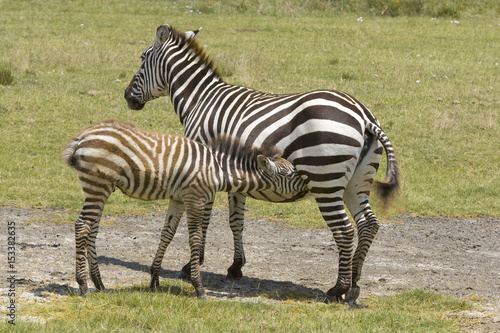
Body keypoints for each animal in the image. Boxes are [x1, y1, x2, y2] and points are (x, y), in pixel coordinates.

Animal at [62, 118, 308, 296]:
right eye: (290, 174)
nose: (308, 184)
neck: (216, 169)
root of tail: (82, 137)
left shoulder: (178, 199)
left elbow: (167, 234)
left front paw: (154, 279)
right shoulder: (195, 198)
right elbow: (196, 239)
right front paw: (198, 287)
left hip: (101, 188)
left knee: (93, 229)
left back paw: (99, 283)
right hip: (97, 185)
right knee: (82, 226)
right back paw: (83, 285)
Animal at [126, 24, 402, 304]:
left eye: (142, 58)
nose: (127, 97)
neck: (200, 101)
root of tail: (363, 116)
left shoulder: (203, 168)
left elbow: (205, 219)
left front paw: (192, 264)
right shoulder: (232, 172)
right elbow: (236, 220)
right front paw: (236, 266)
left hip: (325, 180)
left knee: (345, 231)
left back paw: (337, 289)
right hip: (357, 182)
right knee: (368, 225)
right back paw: (355, 284)